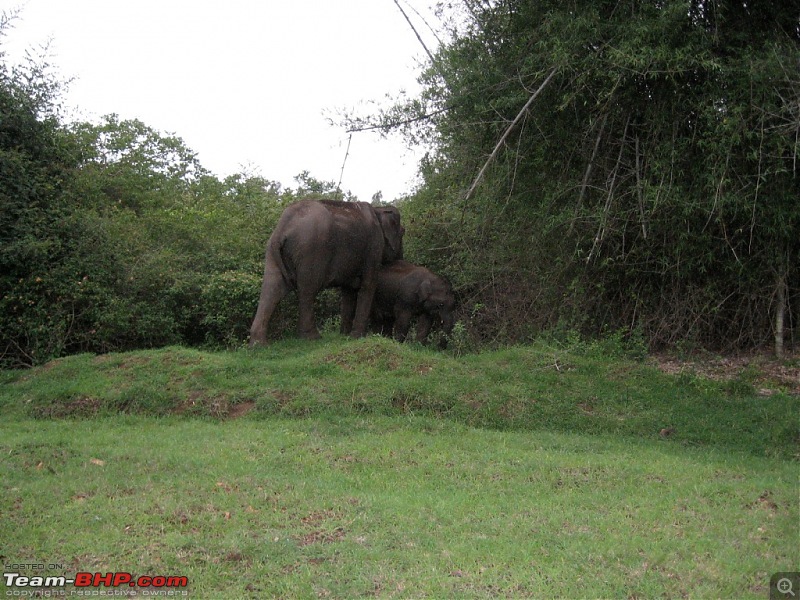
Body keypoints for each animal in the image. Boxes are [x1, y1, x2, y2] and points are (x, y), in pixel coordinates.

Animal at [250, 199, 404, 344]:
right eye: (403, 232)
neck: (379, 209)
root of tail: (282, 229)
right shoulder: (374, 246)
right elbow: (368, 285)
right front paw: (356, 337)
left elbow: (348, 291)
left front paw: (344, 335)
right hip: (311, 250)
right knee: (307, 291)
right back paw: (312, 338)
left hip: (272, 252)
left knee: (271, 290)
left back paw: (259, 344)